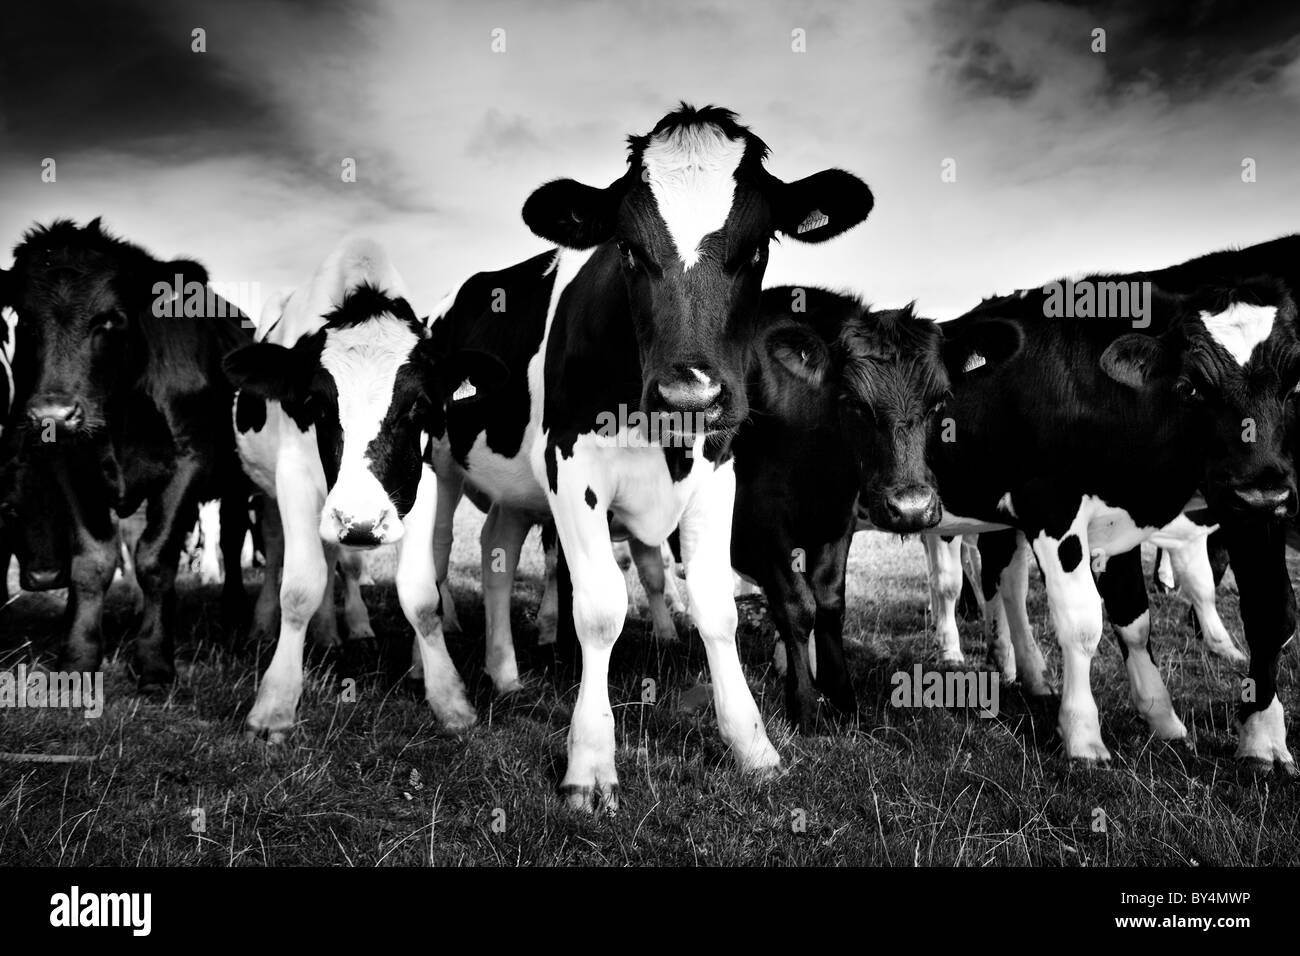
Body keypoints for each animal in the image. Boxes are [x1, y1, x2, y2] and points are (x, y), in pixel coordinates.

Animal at [0, 219, 253, 686]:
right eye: (25, 320)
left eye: (112, 319)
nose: (52, 415)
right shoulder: (69, 464)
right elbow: (93, 560)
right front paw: (78, 655)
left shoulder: (189, 463)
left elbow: (156, 559)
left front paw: (154, 660)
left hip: (236, 483)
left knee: (231, 538)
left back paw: (233, 614)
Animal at [220, 238, 504, 738]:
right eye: (315, 403)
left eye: (420, 405)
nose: (362, 523)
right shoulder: (294, 478)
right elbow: (298, 589)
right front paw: (275, 704)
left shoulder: (423, 481)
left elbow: (421, 597)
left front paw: (449, 699)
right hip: (275, 496)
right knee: (276, 551)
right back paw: (266, 623)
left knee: (338, 558)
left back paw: (340, 628)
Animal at [428, 102, 873, 806]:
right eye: (628, 250)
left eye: (758, 248)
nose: (688, 392)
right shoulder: (570, 468)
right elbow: (600, 611)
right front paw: (588, 764)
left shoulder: (720, 468)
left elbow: (717, 607)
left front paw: (753, 745)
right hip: (440, 464)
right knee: (441, 550)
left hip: (514, 491)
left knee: (497, 553)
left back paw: (505, 673)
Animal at [930, 277, 1294, 770]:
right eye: (1190, 386)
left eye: (1294, 386)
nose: (1263, 494)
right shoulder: (1051, 509)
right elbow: (1083, 625)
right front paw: (1083, 736)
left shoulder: (1118, 527)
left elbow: (1135, 620)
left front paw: (1163, 719)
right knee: (951, 581)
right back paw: (954, 655)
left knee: (1005, 582)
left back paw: (1026, 672)